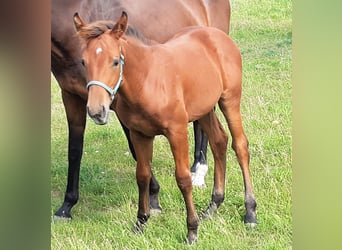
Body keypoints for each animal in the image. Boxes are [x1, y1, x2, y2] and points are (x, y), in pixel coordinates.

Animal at [51, 1, 230, 221]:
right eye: (83, 62)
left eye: (115, 62)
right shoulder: (70, 95)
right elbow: (75, 150)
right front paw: (66, 206)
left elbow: (135, 149)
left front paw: (153, 200)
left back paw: (199, 170)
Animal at [75, 12, 256, 244]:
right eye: (83, 62)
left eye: (115, 61)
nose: (97, 111)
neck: (147, 81)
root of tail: (218, 35)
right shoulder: (139, 134)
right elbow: (142, 175)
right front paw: (141, 222)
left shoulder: (177, 132)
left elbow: (183, 179)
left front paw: (192, 230)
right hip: (204, 109)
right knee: (219, 142)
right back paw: (213, 205)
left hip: (230, 100)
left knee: (240, 146)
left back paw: (250, 212)